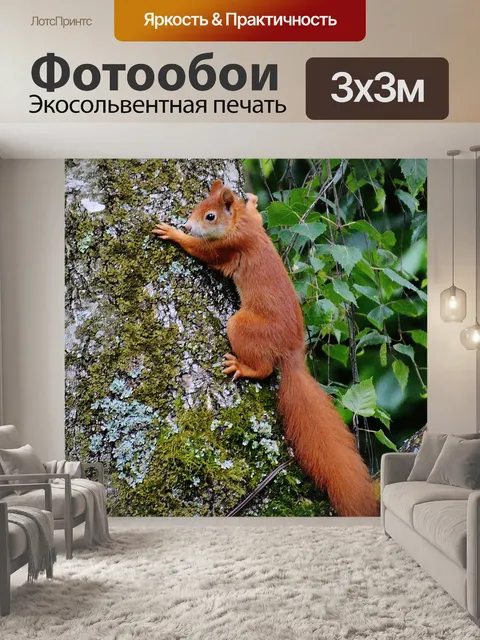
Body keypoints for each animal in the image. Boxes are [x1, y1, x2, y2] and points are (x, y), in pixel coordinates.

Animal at [153, 179, 379, 517]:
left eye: (210, 216)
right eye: (197, 207)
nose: (187, 225)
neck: (238, 224)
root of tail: (293, 354)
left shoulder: (228, 246)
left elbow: (203, 251)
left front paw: (174, 234)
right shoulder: (251, 226)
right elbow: (257, 216)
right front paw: (253, 202)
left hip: (242, 327)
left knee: (264, 368)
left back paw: (243, 367)